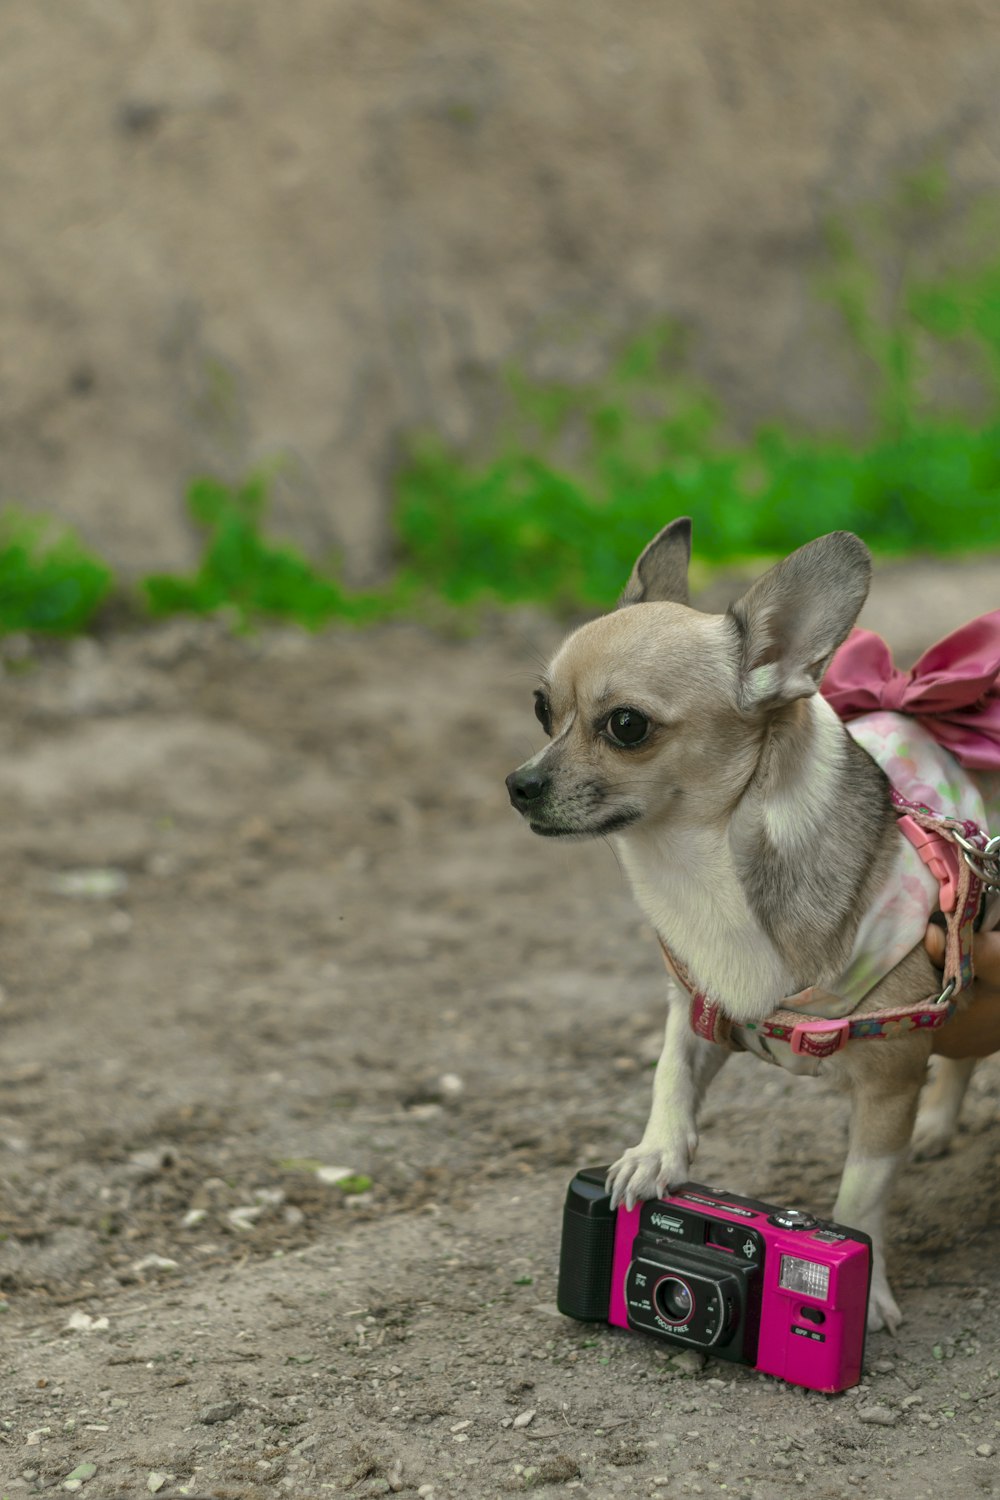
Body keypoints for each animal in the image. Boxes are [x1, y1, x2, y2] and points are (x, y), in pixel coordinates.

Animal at [509, 522, 995, 1332]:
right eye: (543, 709)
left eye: (626, 726)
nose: (519, 784)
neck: (699, 865)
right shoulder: (698, 1006)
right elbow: (670, 1075)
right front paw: (656, 1155)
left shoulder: (888, 1082)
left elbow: (861, 1194)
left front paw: (860, 1293)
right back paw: (937, 1126)